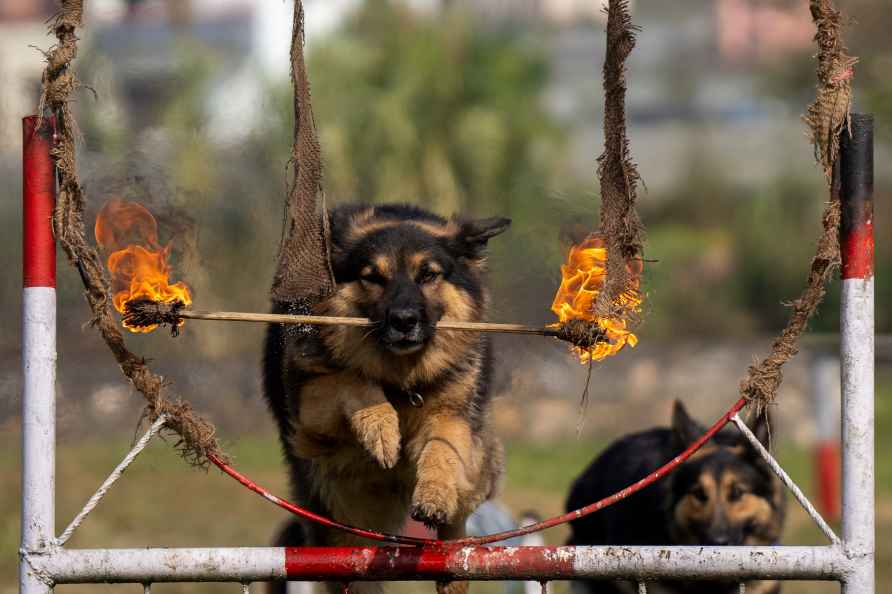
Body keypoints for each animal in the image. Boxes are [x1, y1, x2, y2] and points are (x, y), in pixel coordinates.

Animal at [262, 201, 508, 588]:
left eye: (428, 275)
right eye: (373, 277)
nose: (404, 321)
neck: (401, 377)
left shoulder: (453, 416)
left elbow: (441, 449)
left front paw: (435, 493)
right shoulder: (310, 415)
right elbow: (352, 380)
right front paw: (380, 430)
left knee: (457, 528)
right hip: (340, 512)